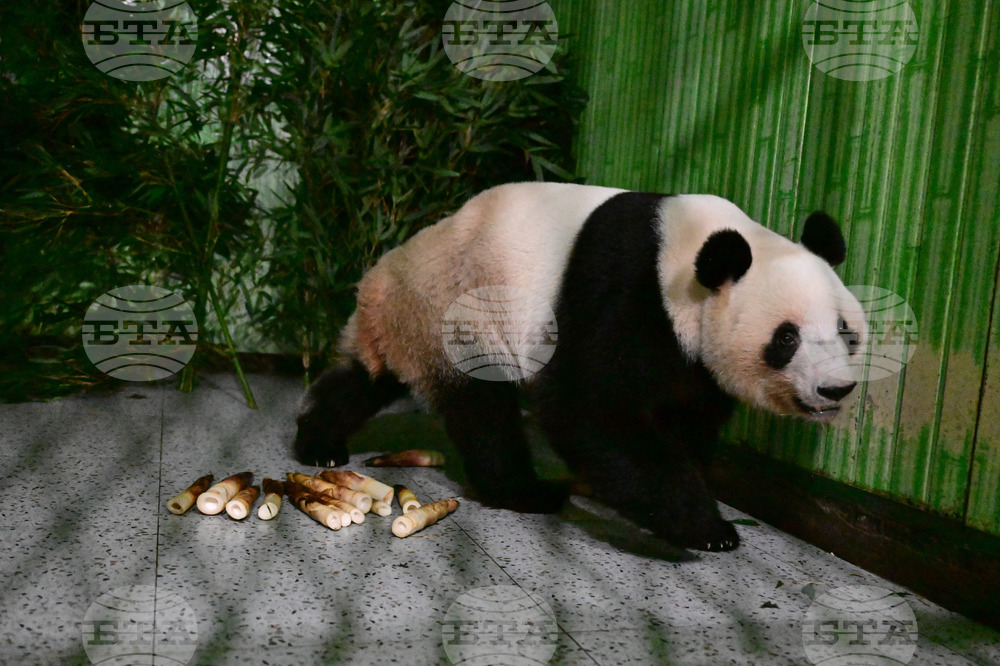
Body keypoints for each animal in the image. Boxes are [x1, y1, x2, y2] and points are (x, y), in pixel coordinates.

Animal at [293, 182, 867, 551]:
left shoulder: (694, 360)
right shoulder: (625, 287)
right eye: (787, 338)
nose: (835, 390)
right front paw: (705, 526)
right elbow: (588, 406)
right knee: (484, 411)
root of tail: (380, 276)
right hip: (455, 312)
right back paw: (525, 491)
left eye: (845, 330)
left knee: (364, 380)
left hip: (412, 325)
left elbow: (686, 418)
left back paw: (318, 440)